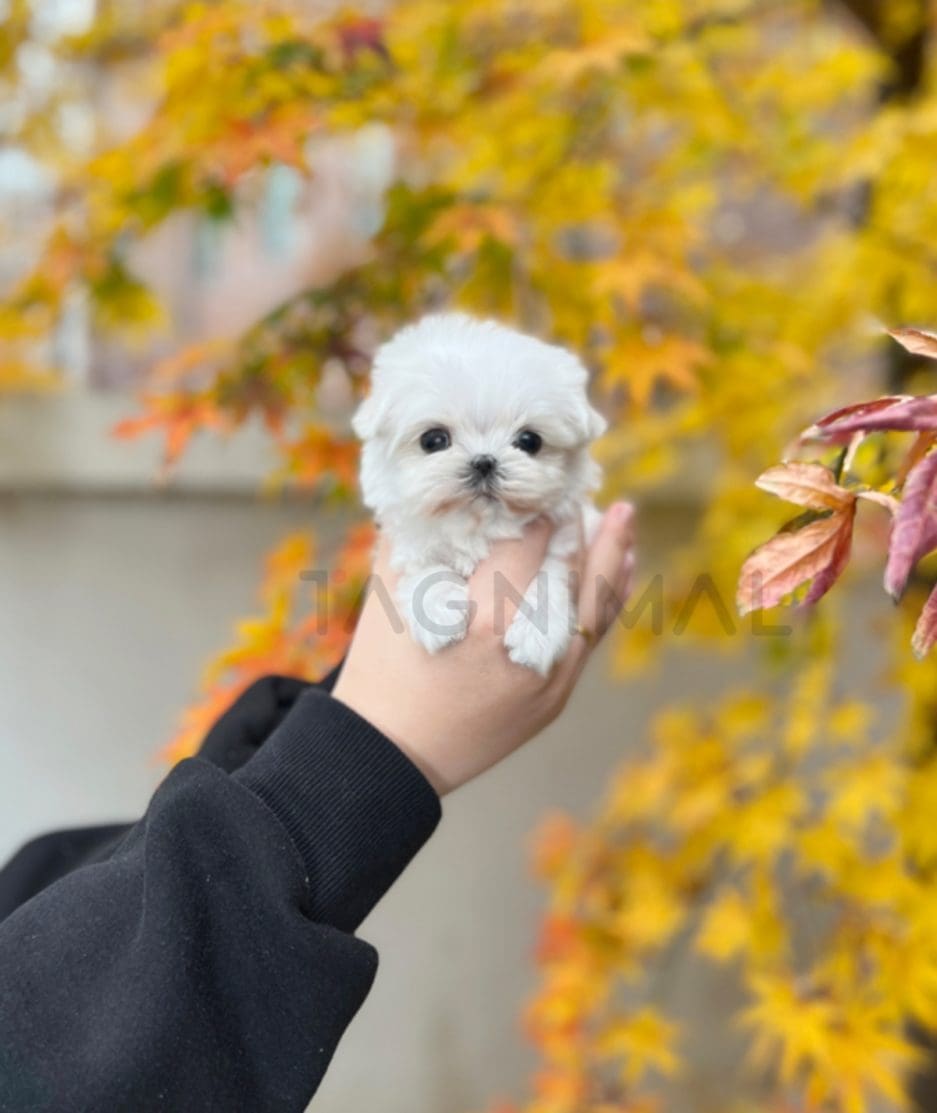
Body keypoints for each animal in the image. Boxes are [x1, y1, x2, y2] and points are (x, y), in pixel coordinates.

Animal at [351, 313, 605, 676]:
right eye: (433, 440)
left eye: (529, 441)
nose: (484, 461)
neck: (478, 525)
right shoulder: (409, 544)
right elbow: (424, 570)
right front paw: (437, 612)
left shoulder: (563, 538)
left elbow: (548, 577)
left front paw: (537, 634)